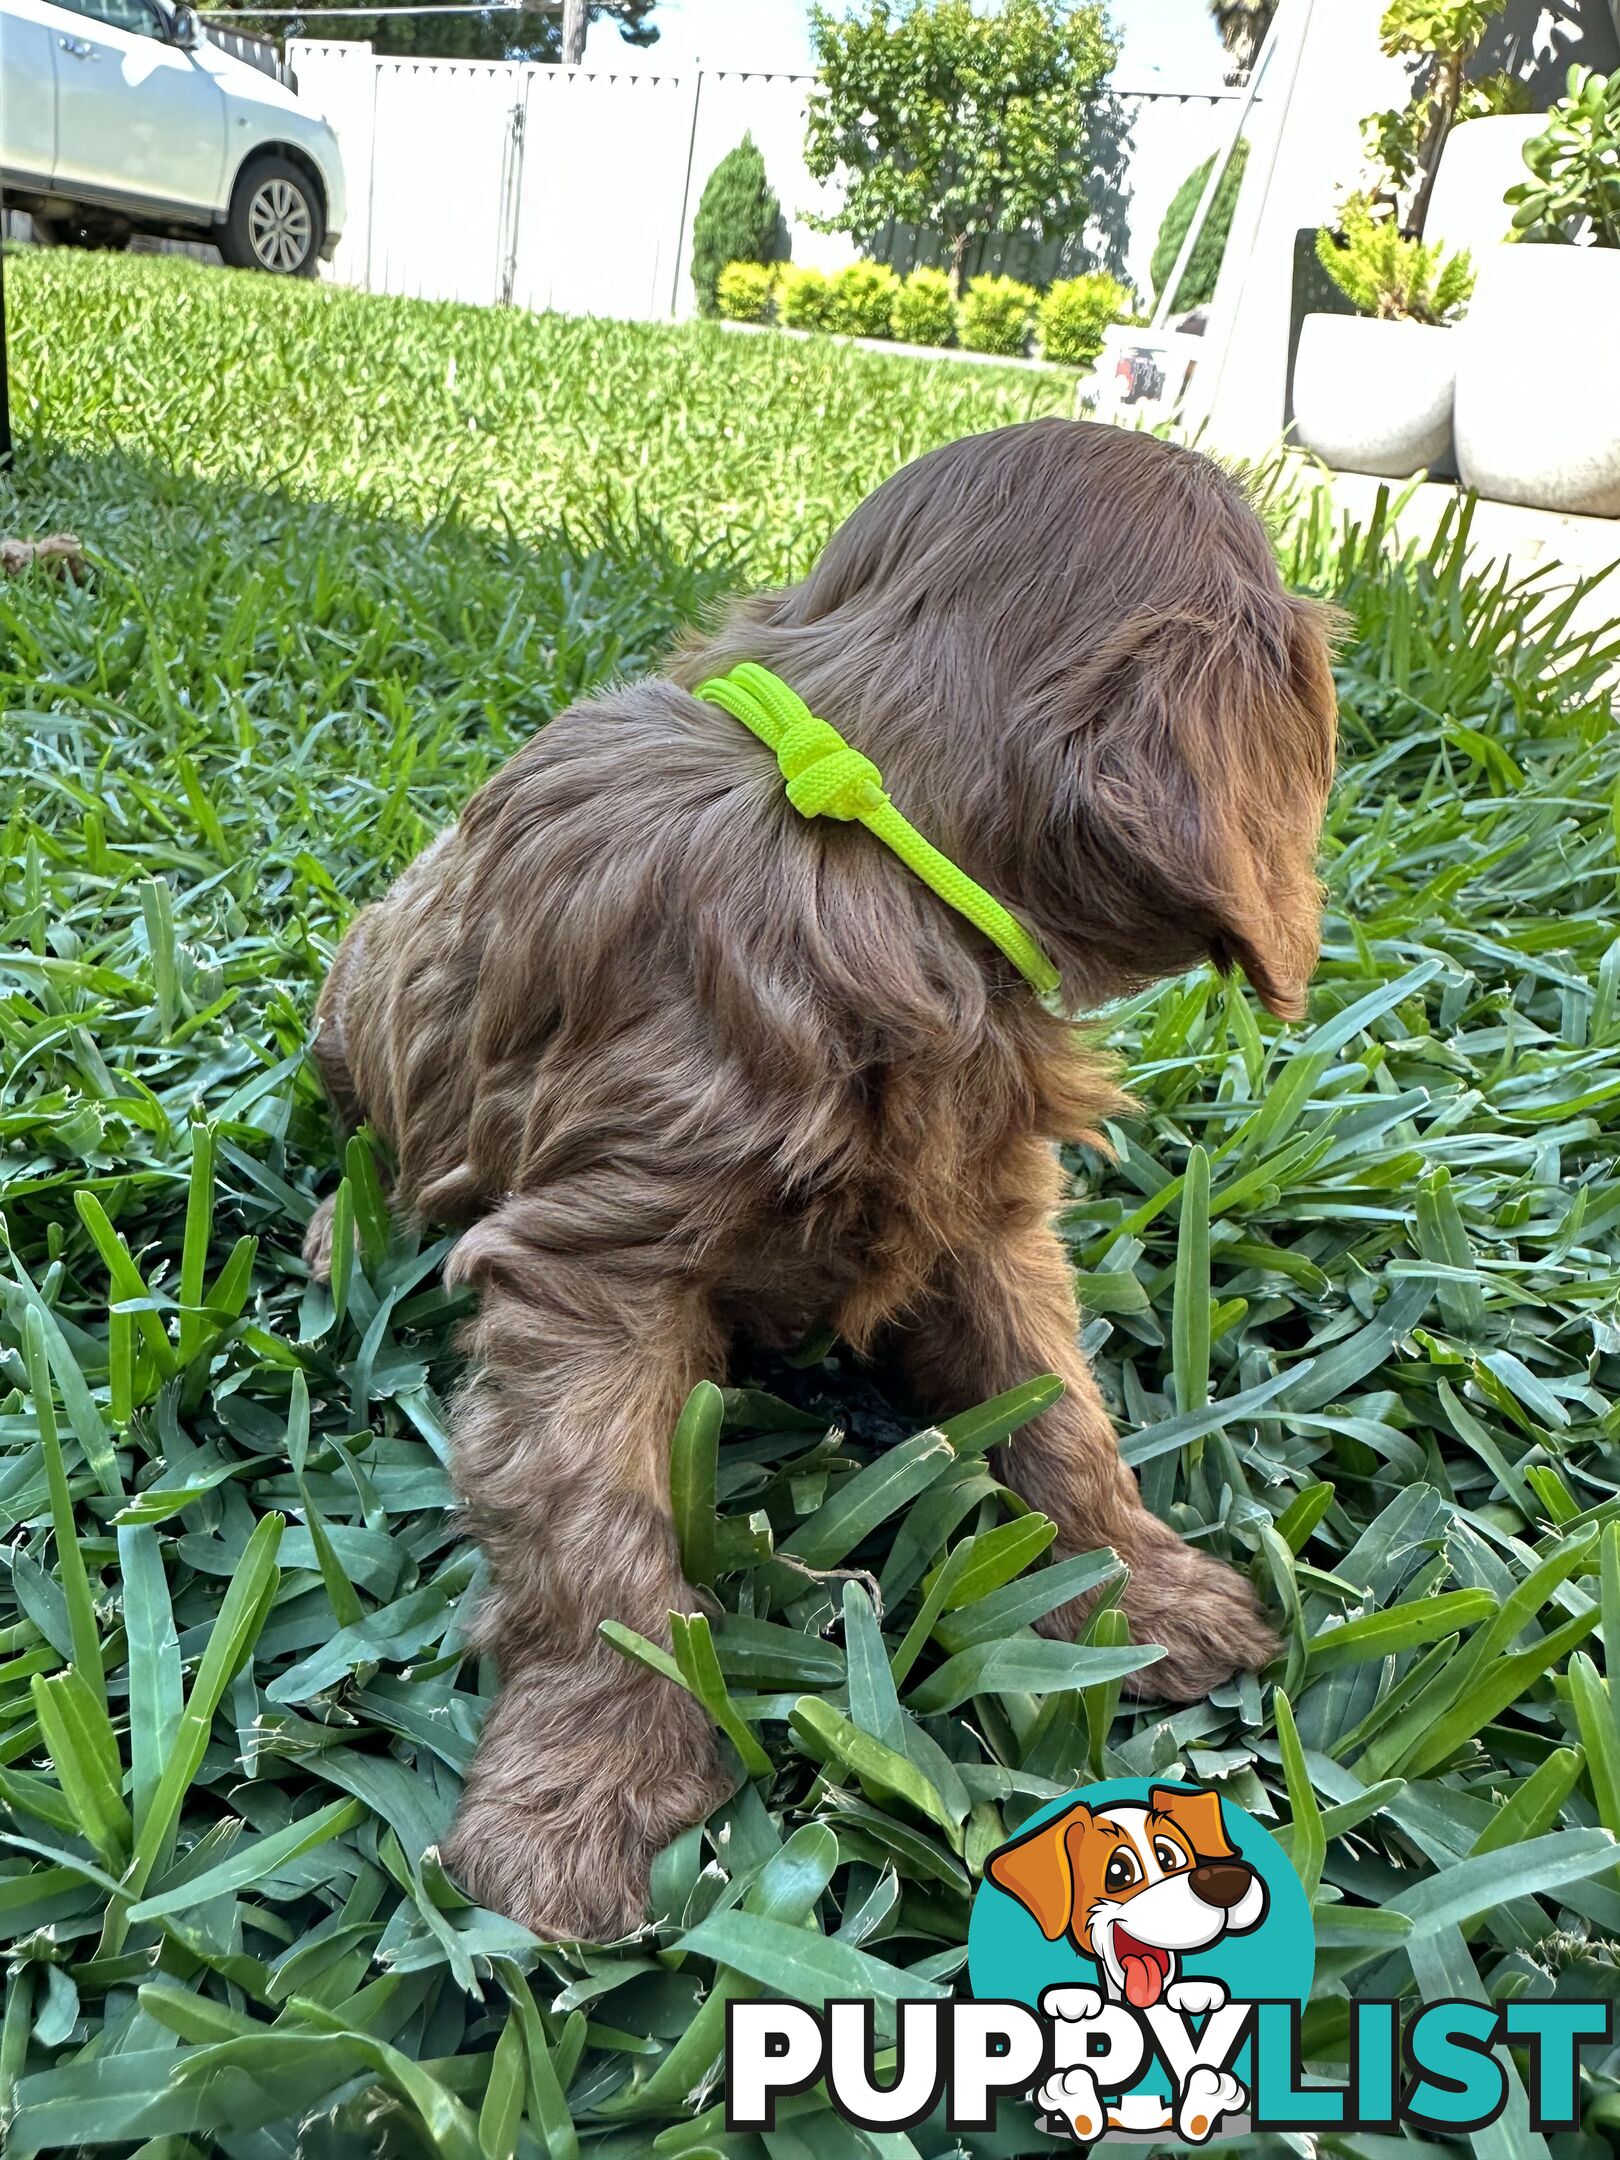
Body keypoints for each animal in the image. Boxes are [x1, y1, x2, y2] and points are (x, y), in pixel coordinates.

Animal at [304, 421, 1347, 1944]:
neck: (860, 816)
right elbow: (592, 1524)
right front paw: (584, 1790)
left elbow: (1057, 1401)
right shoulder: (595, 1258)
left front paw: (1138, 1588)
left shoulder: (984, 1205)